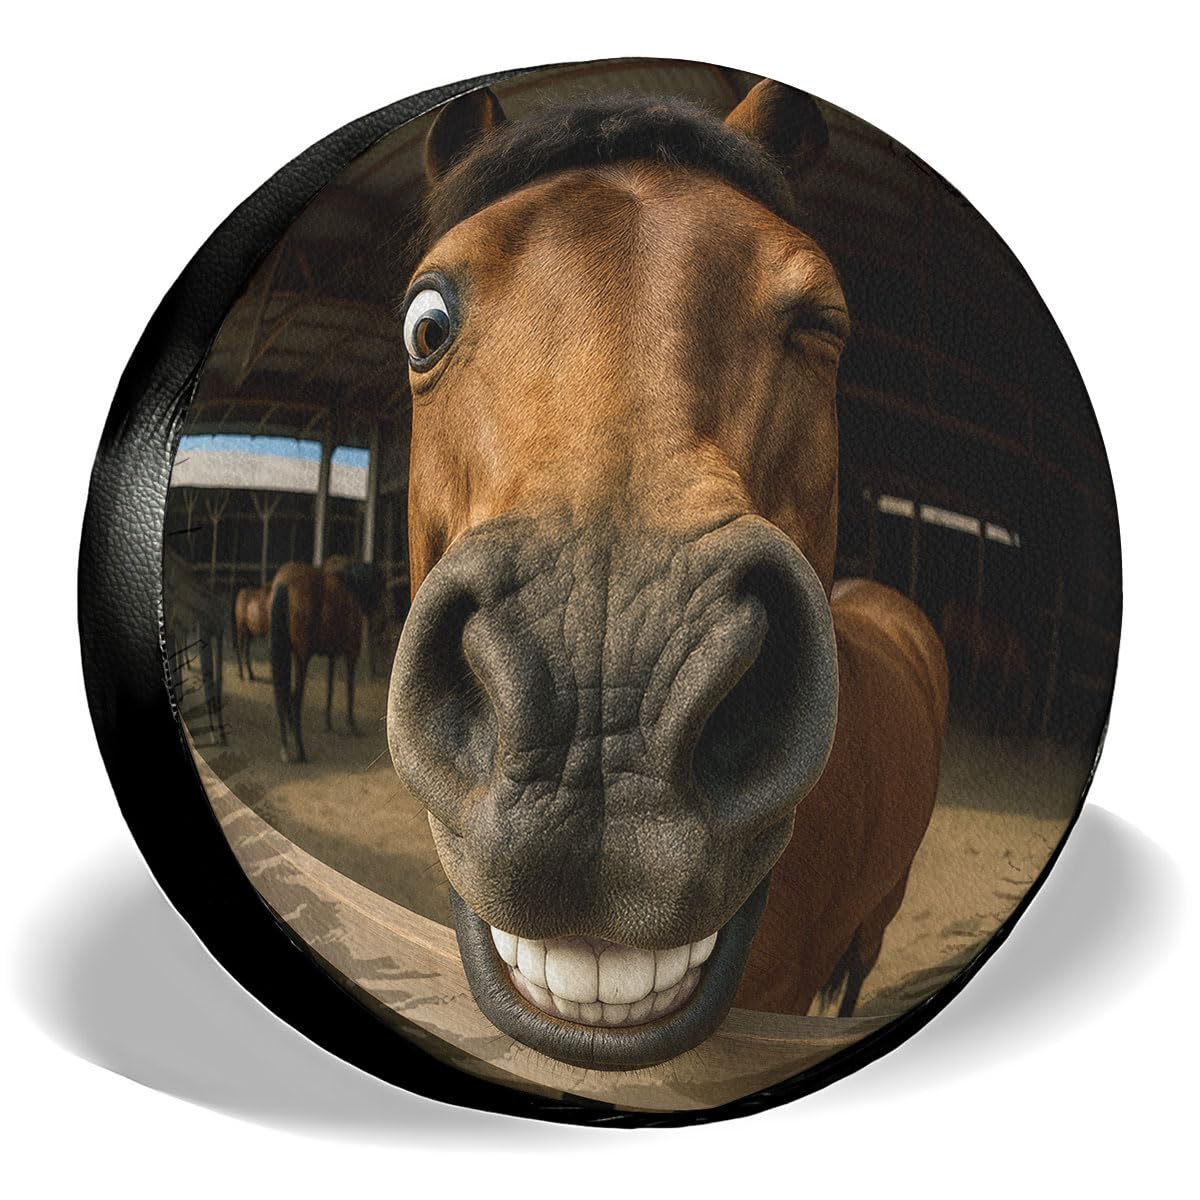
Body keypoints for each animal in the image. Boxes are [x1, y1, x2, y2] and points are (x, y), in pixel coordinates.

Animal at [269, 557, 383, 761]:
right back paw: (300, 750)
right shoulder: (351, 653)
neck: (351, 587)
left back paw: (286, 747)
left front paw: (328, 725)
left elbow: (330, 688)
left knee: (283, 694)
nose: (379, 619)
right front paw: (351, 725)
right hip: (301, 657)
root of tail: (284, 583)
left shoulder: (332, 655)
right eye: (378, 586)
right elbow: (349, 689)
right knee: (295, 697)